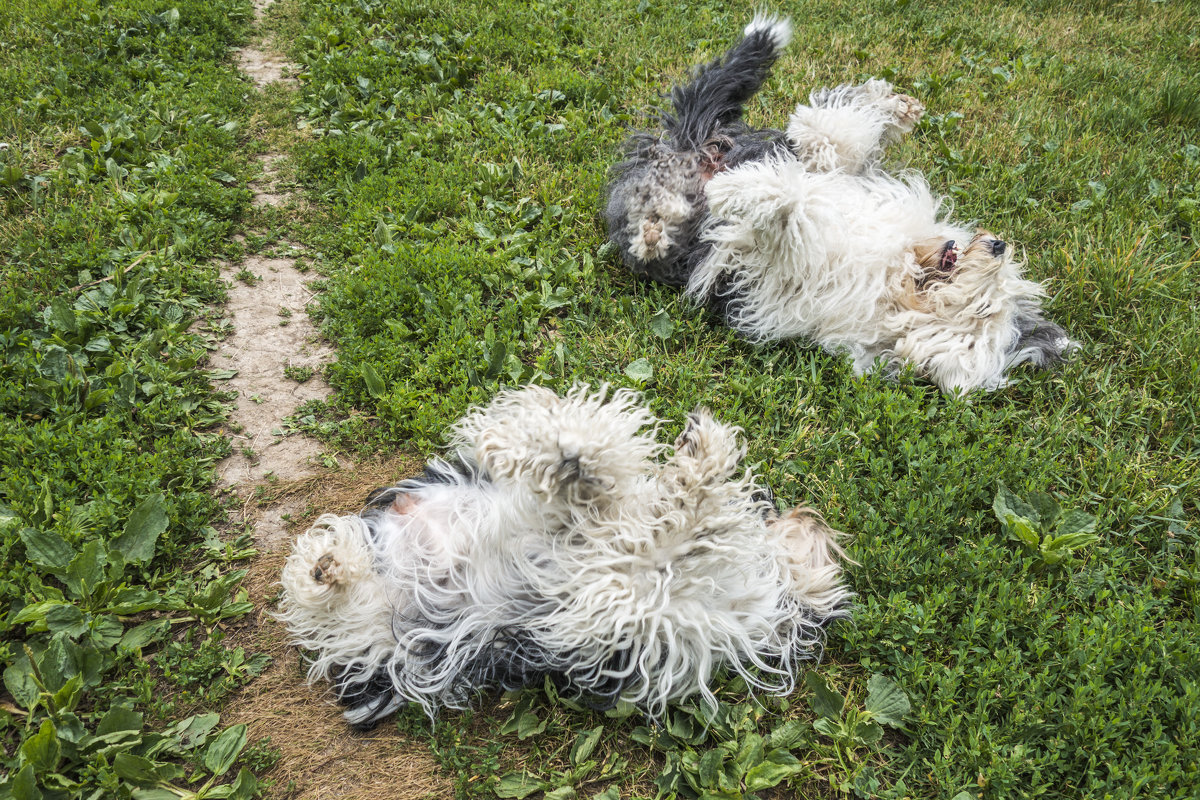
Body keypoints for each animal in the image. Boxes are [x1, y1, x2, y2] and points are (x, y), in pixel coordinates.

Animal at [276, 383, 849, 729]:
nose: (815, 518)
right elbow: (643, 492)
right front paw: (698, 452)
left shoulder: (629, 599)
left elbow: (673, 527)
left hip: (402, 634)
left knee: (344, 611)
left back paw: (327, 568)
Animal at [604, 14, 1075, 393]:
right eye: (993, 291)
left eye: (983, 308)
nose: (998, 246)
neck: (898, 272)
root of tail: (691, 144)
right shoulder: (846, 178)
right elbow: (829, 141)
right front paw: (892, 108)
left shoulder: (786, 268)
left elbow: (793, 210)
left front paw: (741, 192)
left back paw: (658, 226)